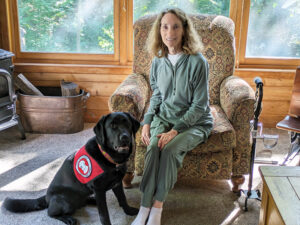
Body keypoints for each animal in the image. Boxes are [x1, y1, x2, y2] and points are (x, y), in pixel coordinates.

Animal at [3, 111, 140, 224]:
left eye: (127, 124)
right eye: (112, 126)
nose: (125, 137)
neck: (109, 157)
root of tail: (47, 197)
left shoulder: (117, 183)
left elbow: (123, 199)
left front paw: (129, 211)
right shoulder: (99, 189)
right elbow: (104, 215)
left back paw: (92, 200)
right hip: (64, 201)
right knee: (50, 213)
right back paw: (68, 218)